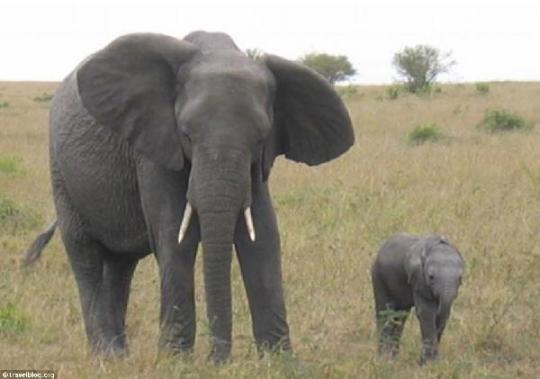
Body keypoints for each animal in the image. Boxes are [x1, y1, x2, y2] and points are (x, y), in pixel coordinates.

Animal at [24, 31, 354, 364]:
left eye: (262, 138)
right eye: (186, 134)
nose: (217, 360)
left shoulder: (256, 167)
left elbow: (262, 237)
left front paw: (281, 363)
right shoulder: (154, 147)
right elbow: (174, 236)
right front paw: (175, 362)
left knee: (120, 265)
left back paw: (122, 355)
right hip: (61, 173)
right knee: (85, 255)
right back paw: (107, 356)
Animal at [372, 235, 464, 366]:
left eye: (460, 278)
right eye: (431, 277)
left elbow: (443, 316)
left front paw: (432, 362)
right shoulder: (419, 279)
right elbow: (426, 313)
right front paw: (426, 364)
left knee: (400, 317)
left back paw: (393, 357)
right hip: (378, 277)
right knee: (384, 313)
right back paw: (384, 358)